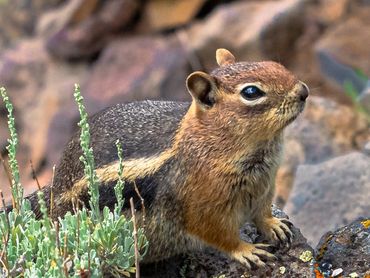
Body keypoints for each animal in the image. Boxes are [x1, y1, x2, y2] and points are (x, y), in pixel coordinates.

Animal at [27, 48, 308, 270]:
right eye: (251, 92)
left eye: (274, 63)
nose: (303, 91)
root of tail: (54, 190)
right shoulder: (202, 206)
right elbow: (217, 234)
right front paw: (245, 249)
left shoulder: (265, 186)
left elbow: (261, 212)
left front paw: (273, 225)